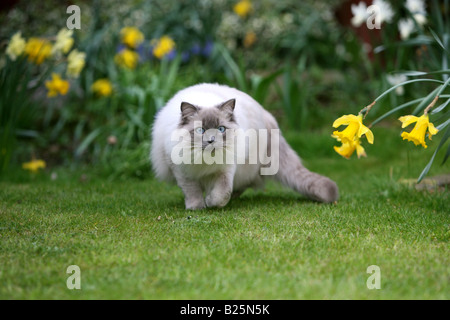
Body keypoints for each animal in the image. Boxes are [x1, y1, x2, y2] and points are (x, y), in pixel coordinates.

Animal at [151, 82, 338, 210]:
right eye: (200, 130)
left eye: (221, 129)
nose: (211, 140)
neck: (204, 162)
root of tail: (267, 116)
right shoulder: (182, 171)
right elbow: (192, 192)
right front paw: (196, 208)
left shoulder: (226, 169)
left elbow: (222, 194)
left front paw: (210, 202)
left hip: (247, 166)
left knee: (244, 184)